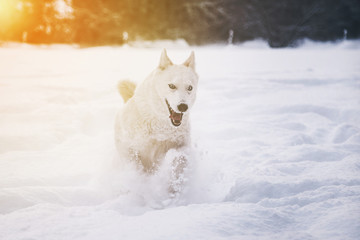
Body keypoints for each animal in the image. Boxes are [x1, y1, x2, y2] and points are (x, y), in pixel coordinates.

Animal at [114, 48, 198, 190]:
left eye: (190, 88)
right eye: (172, 86)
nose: (183, 106)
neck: (160, 125)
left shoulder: (181, 145)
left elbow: (179, 161)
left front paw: (174, 186)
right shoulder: (129, 149)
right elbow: (136, 168)